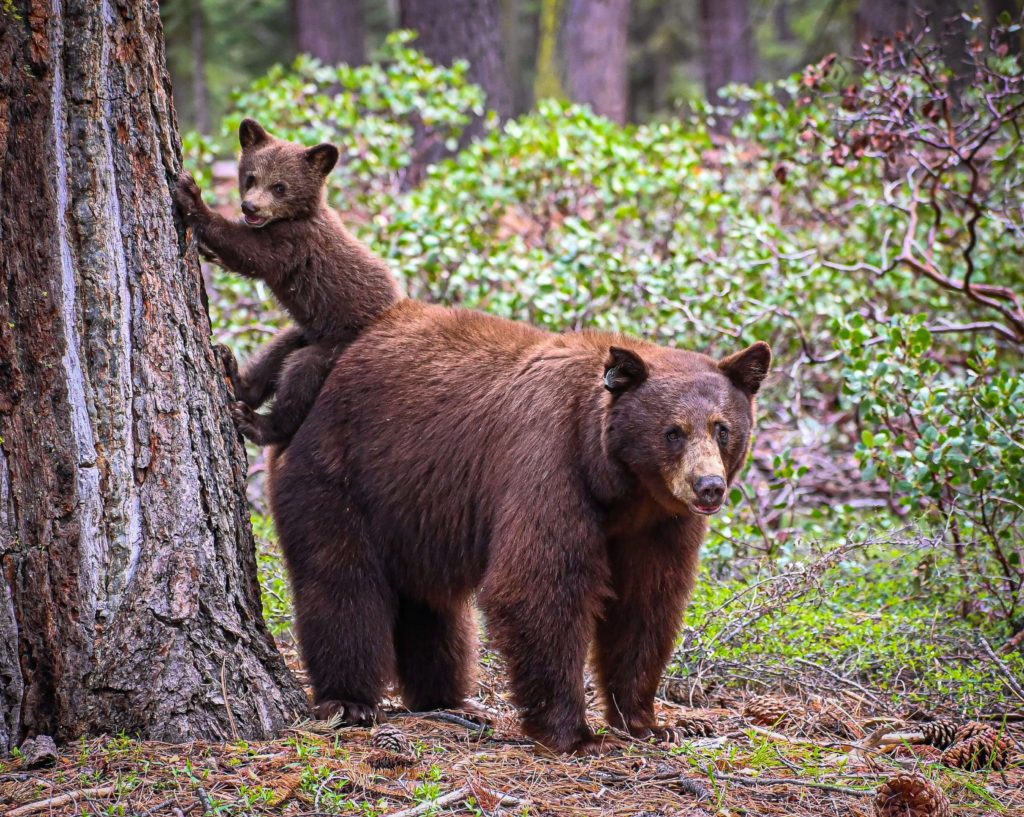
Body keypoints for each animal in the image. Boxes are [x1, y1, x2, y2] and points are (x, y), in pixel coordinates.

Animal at [270, 301, 770, 753]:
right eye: (673, 431)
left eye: (722, 428)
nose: (709, 487)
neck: (620, 487)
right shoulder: (549, 461)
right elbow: (539, 586)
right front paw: (575, 735)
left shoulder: (660, 523)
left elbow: (646, 604)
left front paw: (651, 722)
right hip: (339, 474)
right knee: (342, 583)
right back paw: (350, 700)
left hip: (414, 508)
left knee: (432, 605)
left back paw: (448, 700)